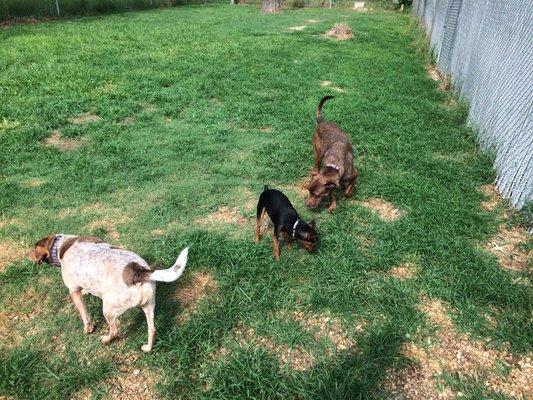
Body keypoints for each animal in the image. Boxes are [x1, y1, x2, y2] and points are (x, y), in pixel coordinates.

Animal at [28, 236, 189, 352]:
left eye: (34, 248)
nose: (27, 255)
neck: (61, 245)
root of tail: (138, 271)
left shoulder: (73, 291)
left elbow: (85, 316)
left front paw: (88, 329)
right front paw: (86, 290)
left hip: (108, 310)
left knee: (115, 330)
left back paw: (106, 339)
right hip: (149, 307)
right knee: (153, 330)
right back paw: (148, 348)